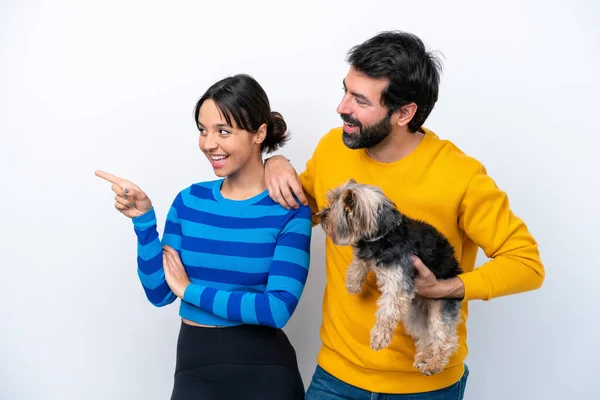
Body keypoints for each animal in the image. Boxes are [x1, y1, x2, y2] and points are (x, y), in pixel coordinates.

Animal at [316, 180, 462, 376]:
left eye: (333, 208)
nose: (321, 215)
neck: (384, 234)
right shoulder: (368, 251)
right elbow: (360, 262)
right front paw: (353, 282)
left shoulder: (397, 285)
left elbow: (386, 314)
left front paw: (379, 338)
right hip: (416, 312)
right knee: (425, 335)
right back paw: (423, 357)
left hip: (440, 305)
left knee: (445, 339)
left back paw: (433, 365)